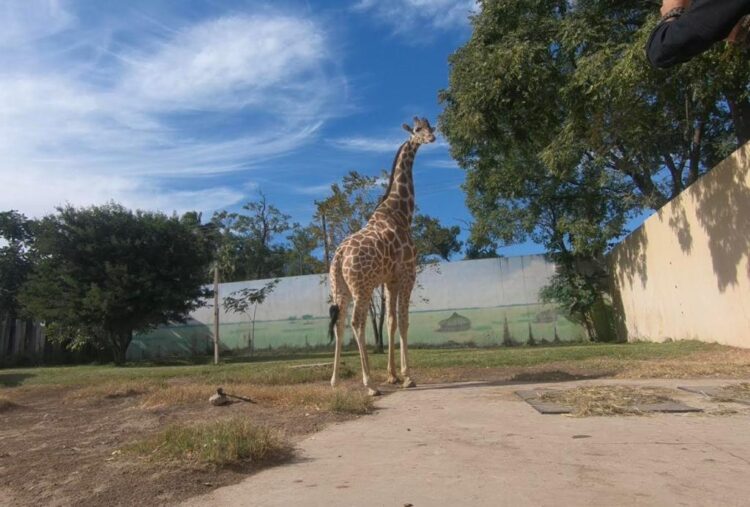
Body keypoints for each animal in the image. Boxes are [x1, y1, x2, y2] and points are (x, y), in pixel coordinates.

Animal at [328, 117, 436, 396]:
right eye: (417, 129)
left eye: (431, 126)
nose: (431, 138)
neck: (401, 212)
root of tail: (339, 255)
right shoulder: (408, 274)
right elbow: (405, 321)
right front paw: (407, 377)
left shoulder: (390, 280)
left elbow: (391, 321)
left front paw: (393, 376)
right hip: (362, 287)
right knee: (357, 323)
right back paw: (369, 384)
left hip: (341, 288)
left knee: (339, 323)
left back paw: (334, 380)